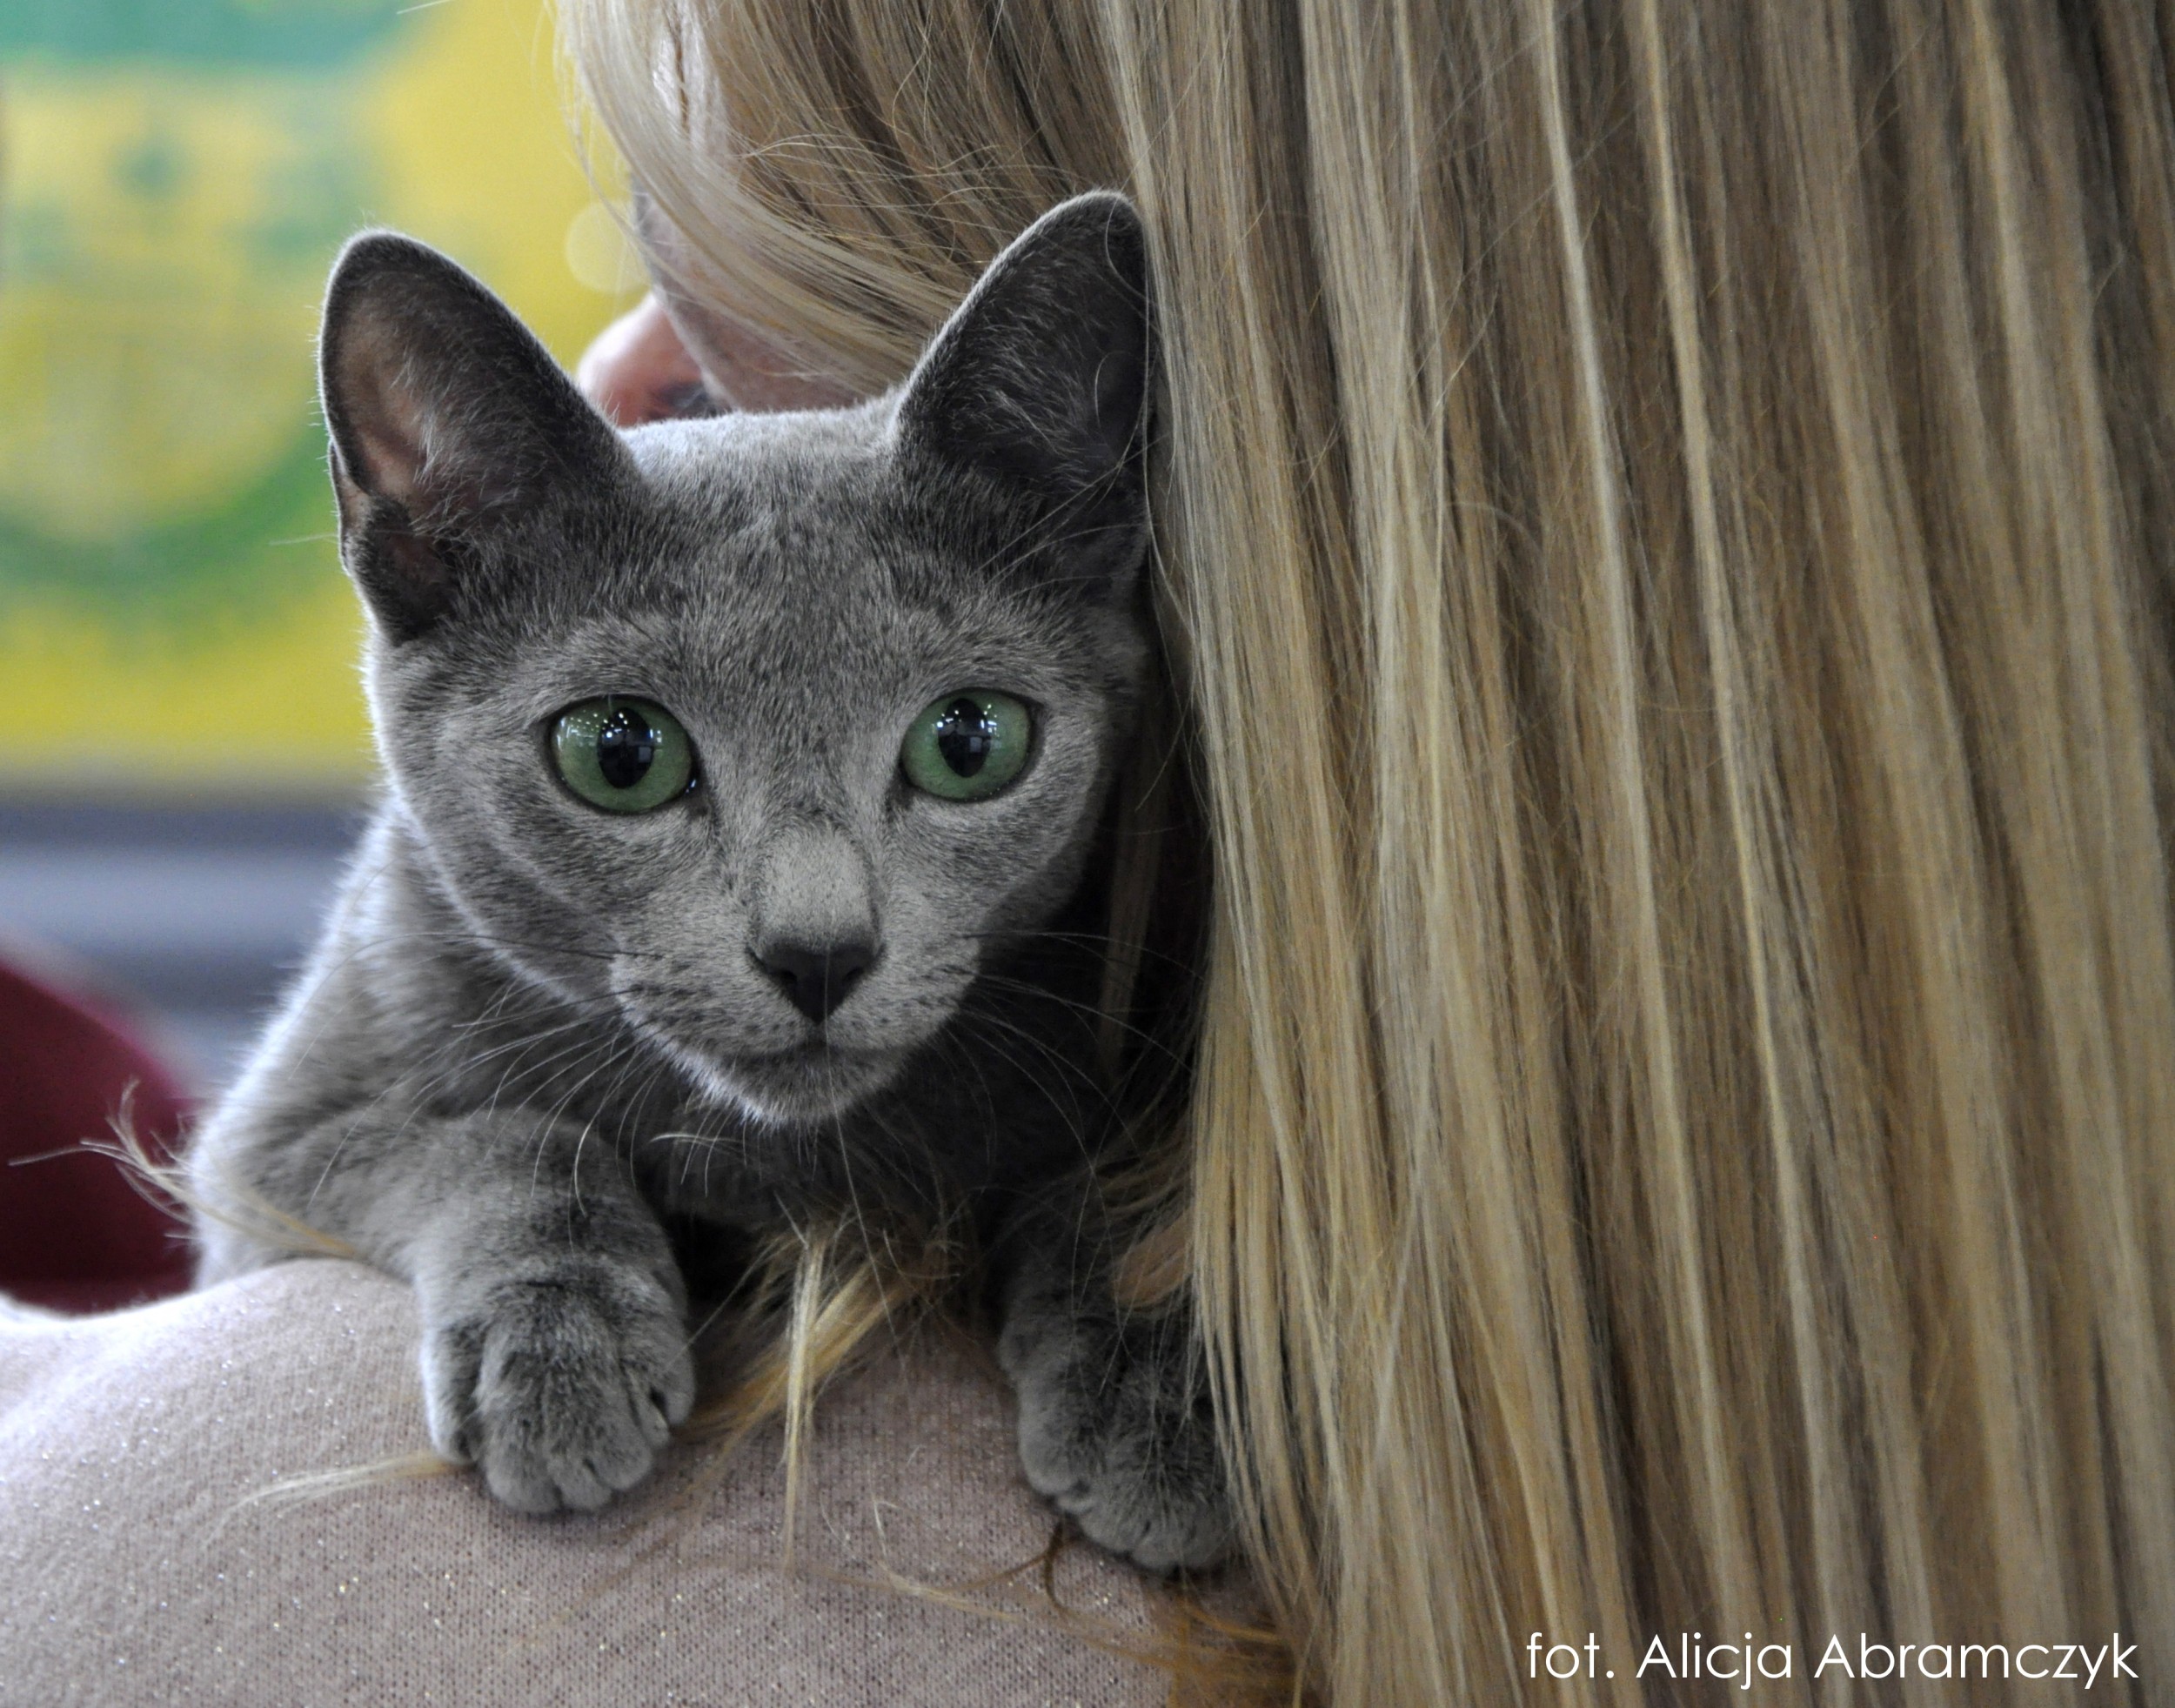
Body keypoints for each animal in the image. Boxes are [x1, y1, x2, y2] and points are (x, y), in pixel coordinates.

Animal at [187, 190, 1235, 1575]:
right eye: (618, 752)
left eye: (970, 741)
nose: (819, 950)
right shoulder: (266, 1153)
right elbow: (504, 1135)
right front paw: (561, 1356)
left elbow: (1126, 1187)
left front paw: (1152, 1405)